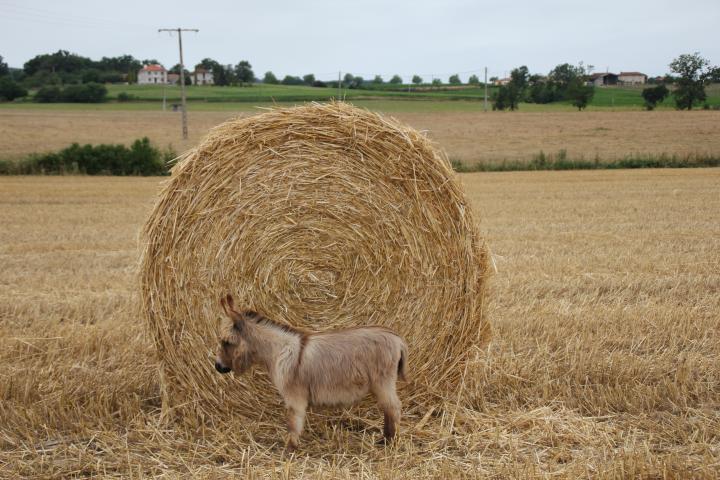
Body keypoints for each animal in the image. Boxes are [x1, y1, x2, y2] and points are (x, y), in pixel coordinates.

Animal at [212, 294, 404, 452]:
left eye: (227, 342)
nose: (217, 367)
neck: (279, 351)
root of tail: (396, 337)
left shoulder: (294, 397)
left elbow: (293, 423)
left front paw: (289, 450)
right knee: (389, 408)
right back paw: (385, 440)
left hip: (383, 382)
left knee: (393, 408)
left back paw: (390, 442)